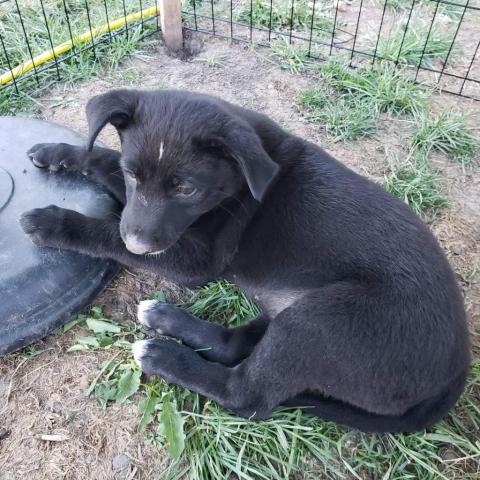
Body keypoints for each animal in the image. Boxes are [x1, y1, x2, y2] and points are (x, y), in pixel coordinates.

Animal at [20, 89, 470, 432]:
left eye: (186, 189)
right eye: (133, 174)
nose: (139, 243)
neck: (236, 185)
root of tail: (458, 370)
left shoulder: (195, 261)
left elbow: (108, 233)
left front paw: (56, 223)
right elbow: (104, 159)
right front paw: (60, 151)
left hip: (326, 319)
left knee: (246, 396)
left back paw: (163, 355)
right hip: (294, 308)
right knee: (233, 345)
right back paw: (165, 318)